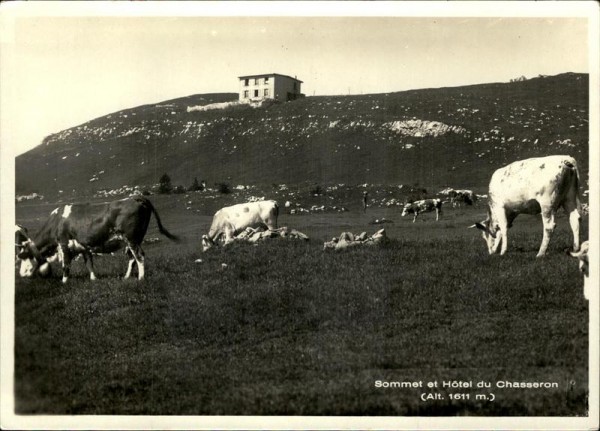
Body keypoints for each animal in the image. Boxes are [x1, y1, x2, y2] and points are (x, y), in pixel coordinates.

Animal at [15, 196, 177, 284]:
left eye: (23, 257)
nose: (21, 275)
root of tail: (135, 197)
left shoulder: (64, 243)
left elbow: (66, 265)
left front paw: (64, 282)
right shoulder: (83, 246)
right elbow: (89, 264)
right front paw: (94, 279)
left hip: (132, 238)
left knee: (140, 256)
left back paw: (141, 278)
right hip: (132, 240)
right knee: (132, 258)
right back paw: (126, 277)